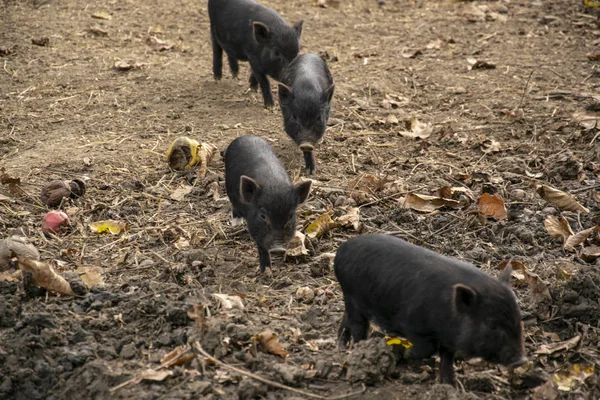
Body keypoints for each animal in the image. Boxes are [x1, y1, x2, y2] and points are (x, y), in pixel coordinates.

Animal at [223, 135, 312, 272]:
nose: (278, 248)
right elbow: (262, 248)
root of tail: (245, 136)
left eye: (291, 216)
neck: (273, 184)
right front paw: (266, 272)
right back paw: (236, 224)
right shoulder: (255, 228)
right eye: (263, 215)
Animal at [336, 234, 528, 384]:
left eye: (518, 319)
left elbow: (447, 359)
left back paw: (342, 346)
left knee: (346, 320)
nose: (521, 360)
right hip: (353, 297)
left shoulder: (449, 339)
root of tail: (341, 249)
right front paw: (407, 354)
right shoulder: (414, 325)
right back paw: (357, 348)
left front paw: (450, 385)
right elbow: (426, 349)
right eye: (491, 325)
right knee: (358, 327)